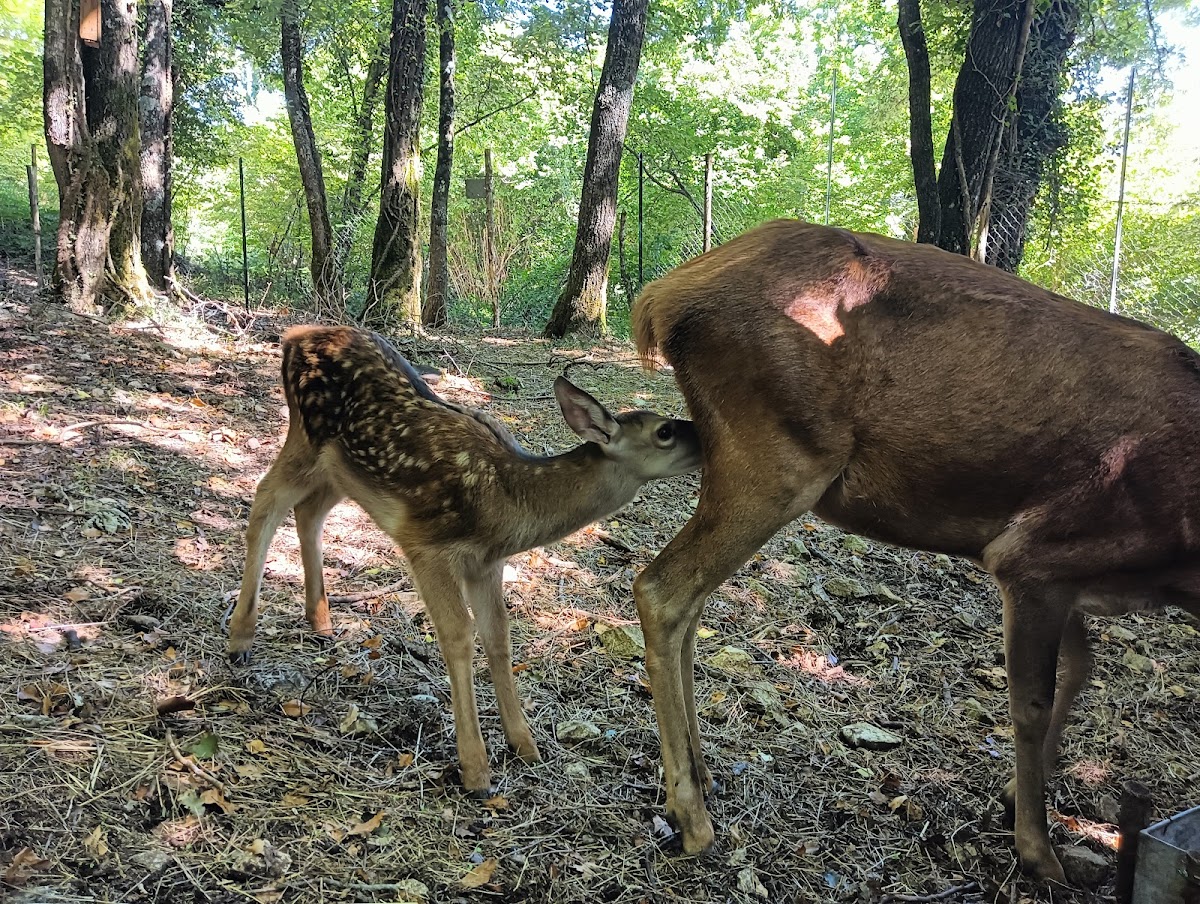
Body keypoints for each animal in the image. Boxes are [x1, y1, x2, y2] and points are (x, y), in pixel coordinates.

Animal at [226, 325, 700, 794]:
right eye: (664, 431)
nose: (705, 435)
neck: (510, 502)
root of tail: (294, 336)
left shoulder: (486, 563)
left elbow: (498, 636)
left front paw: (524, 744)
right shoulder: (427, 546)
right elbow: (458, 635)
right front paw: (476, 770)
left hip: (341, 468)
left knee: (309, 511)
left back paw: (321, 621)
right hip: (307, 435)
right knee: (266, 501)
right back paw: (241, 639)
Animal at [629, 219, 1200, 884]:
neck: (1173, 566)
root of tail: (660, 297)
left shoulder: (1076, 580)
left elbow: (1079, 670)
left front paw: (1015, 796)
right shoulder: (1036, 554)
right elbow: (1031, 701)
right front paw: (1037, 849)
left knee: (690, 600)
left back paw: (698, 778)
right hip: (779, 460)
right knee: (663, 588)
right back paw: (692, 818)